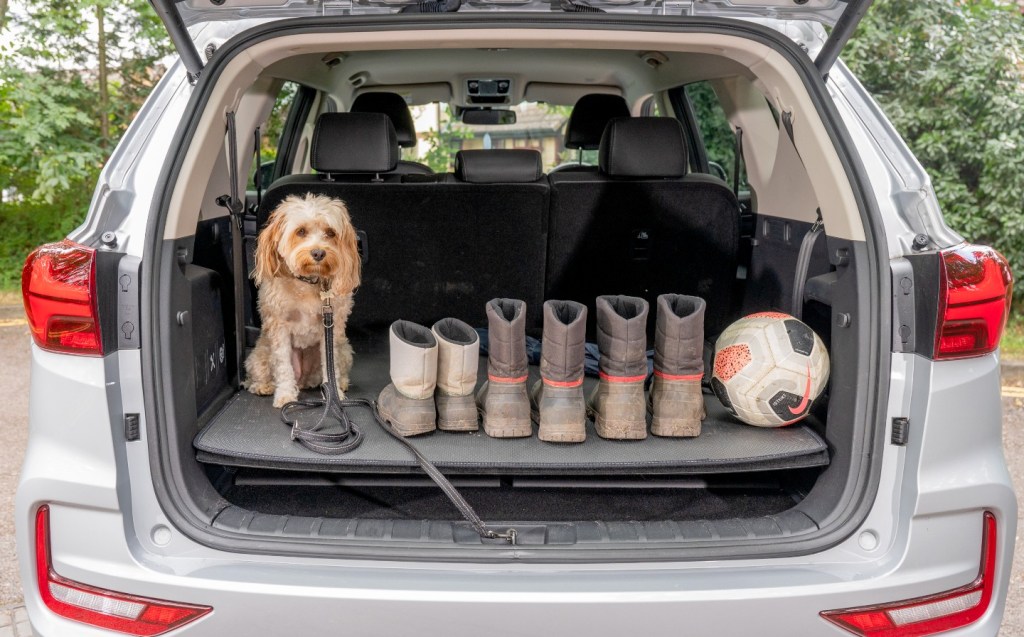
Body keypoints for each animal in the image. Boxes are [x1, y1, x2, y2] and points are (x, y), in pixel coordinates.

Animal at [245, 192, 362, 409]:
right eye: (300, 231)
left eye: (330, 233)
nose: (318, 252)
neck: (309, 282)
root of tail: (304, 380)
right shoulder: (279, 326)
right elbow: (283, 365)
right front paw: (285, 395)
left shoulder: (331, 328)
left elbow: (330, 366)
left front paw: (335, 396)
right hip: (260, 354)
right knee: (256, 375)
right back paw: (263, 386)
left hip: (344, 350)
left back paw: (340, 384)